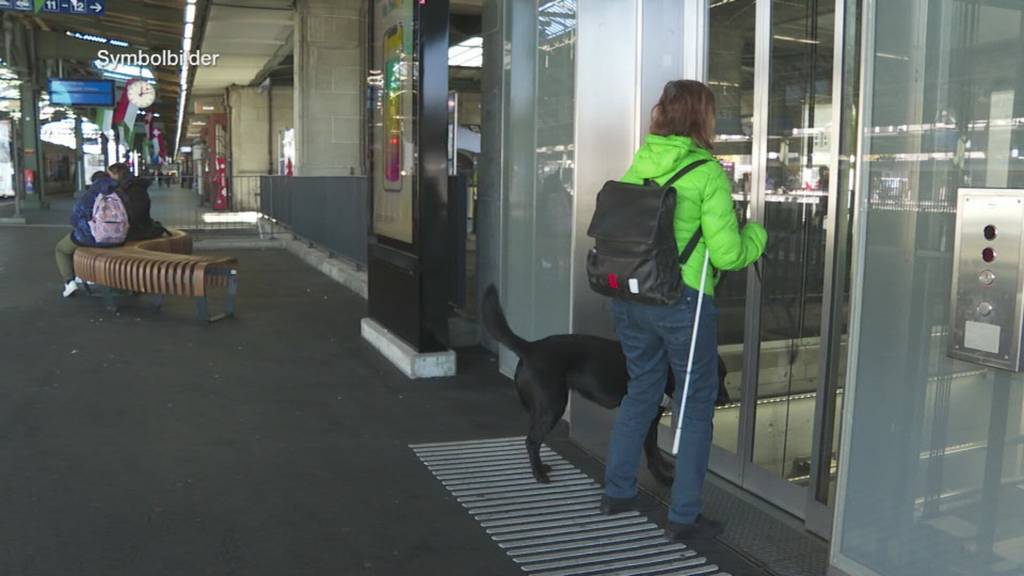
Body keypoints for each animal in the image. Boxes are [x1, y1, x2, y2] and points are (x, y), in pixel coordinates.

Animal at [481, 284, 729, 481]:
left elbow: (655, 448)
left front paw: (663, 467)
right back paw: (539, 474)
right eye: (712, 378)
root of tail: (531, 347)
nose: (725, 400)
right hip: (553, 405)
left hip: (541, 408)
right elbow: (650, 450)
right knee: (532, 440)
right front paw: (662, 477)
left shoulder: (653, 418)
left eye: (725, 376)